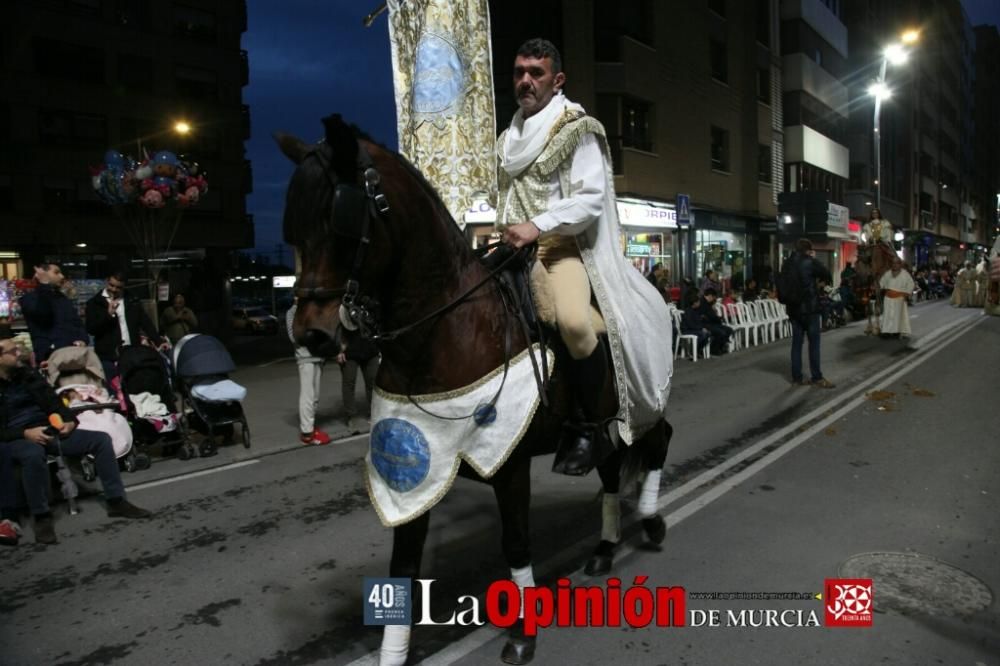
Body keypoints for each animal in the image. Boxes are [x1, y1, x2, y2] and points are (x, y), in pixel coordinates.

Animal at [274, 116, 672, 660]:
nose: (310, 335)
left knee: (659, 442)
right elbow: (404, 565)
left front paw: (523, 632)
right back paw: (605, 549)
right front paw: (394, 653)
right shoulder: (411, 469)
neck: (447, 329)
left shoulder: (509, 464)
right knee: (612, 469)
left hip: (645, 402)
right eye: (292, 229)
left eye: (341, 220)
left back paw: (651, 521)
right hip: (610, 423)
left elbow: (516, 544)